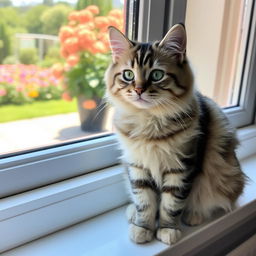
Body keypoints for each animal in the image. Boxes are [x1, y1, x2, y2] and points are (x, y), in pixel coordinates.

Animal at [104, 24, 246, 246]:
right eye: (128, 75)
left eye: (156, 75)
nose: (138, 90)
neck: (149, 121)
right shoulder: (137, 166)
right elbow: (145, 201)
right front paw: (143, 227)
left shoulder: (181, 167)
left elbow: (171, 204)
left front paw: (168, 229)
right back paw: (132, 212)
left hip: (226, 175)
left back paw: (194, 215)